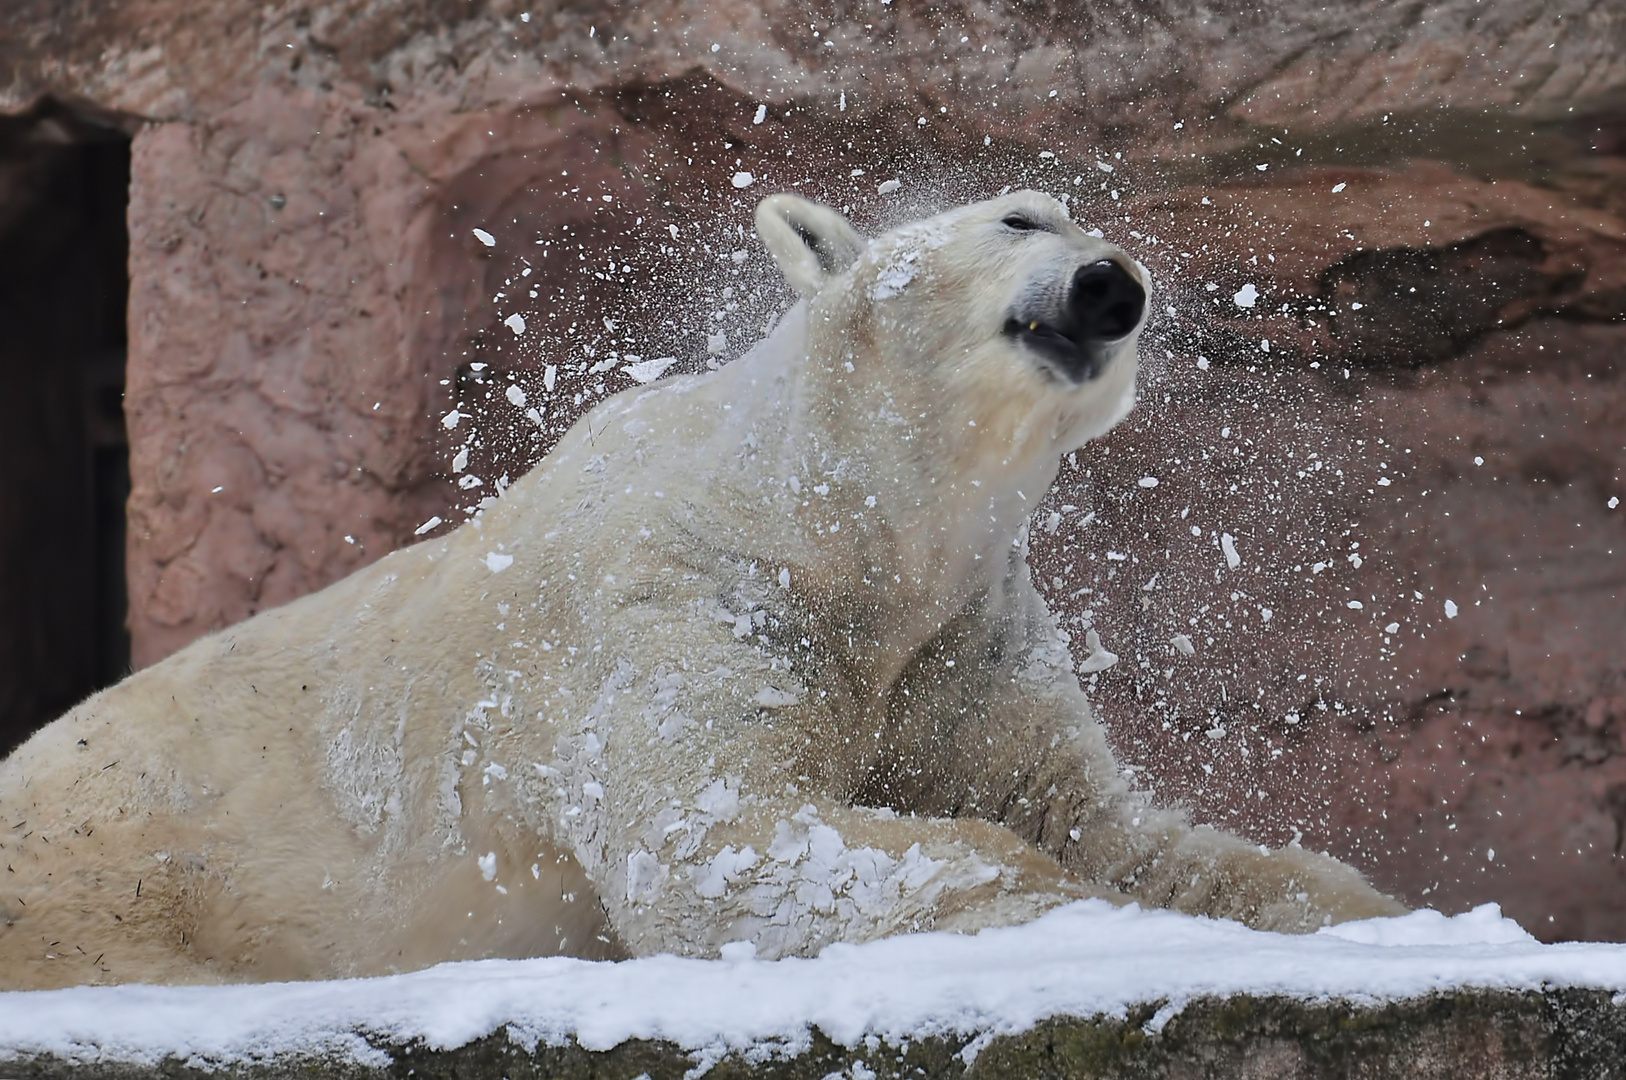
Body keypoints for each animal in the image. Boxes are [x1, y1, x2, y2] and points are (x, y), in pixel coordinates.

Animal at [0, 191, 1398, 988]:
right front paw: (1076, 920)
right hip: (118, 875)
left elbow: (1098, 818)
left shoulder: (962, 640)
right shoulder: (690, 594)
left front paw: (1348, 910)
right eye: (1018, 219)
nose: (1111, 285)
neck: (843, 521)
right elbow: (722, 840)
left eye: (1080, 231)